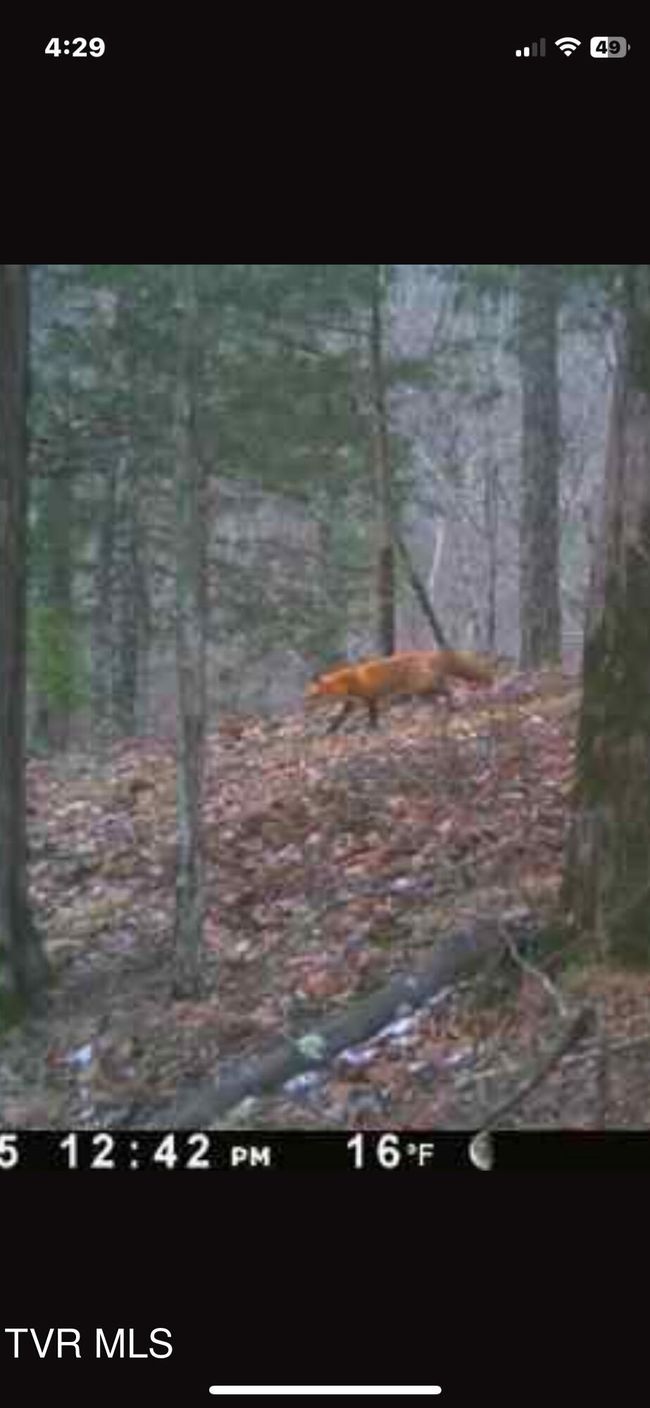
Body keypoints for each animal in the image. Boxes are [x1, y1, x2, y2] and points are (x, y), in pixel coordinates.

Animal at [305, 649, 495, 733]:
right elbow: (339, 719)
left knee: (447, 689)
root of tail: (429, 654)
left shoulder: (370, 697)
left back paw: (452, 705)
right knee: (442, 688)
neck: (346, 683)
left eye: (314, 696)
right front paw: (330, 730)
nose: (304, 705)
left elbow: (373, 715)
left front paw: (372, 728)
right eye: (308, 696)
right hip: (423, 689)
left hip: (422, 687)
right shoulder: (351, 703)